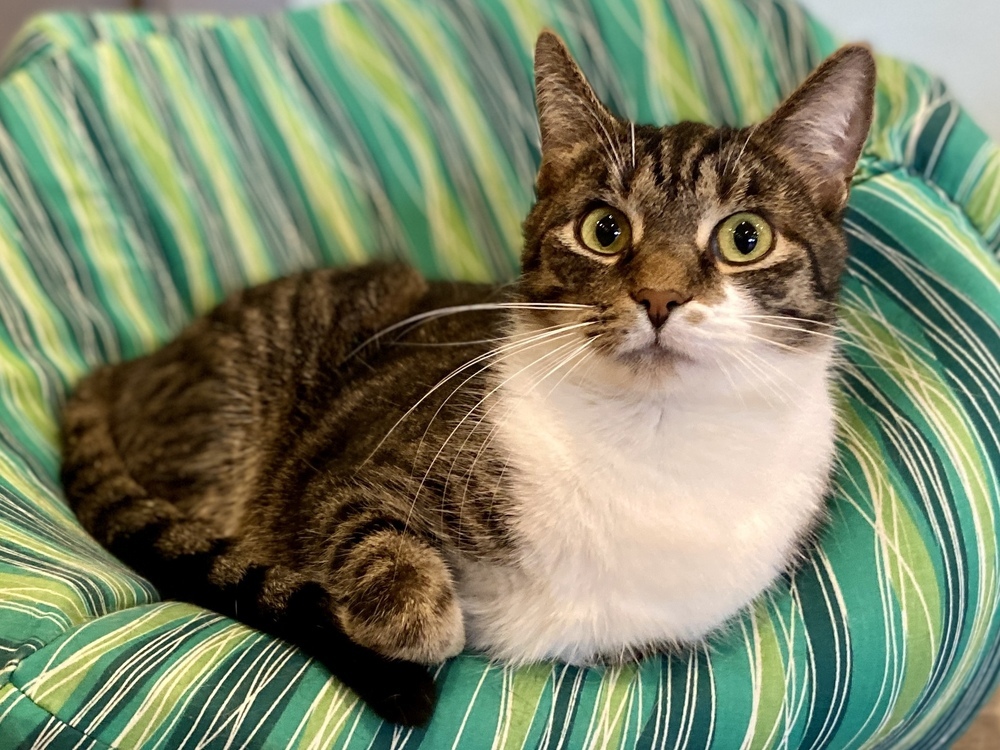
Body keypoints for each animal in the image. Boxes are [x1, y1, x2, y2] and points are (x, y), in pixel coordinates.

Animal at [62, 30, 876, 728]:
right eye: (604, 230)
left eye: (746, 238)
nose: (659, 297)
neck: (654, 436)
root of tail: (122, 367)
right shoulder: (341, 472)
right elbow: (374, 544)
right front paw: (421, 619)